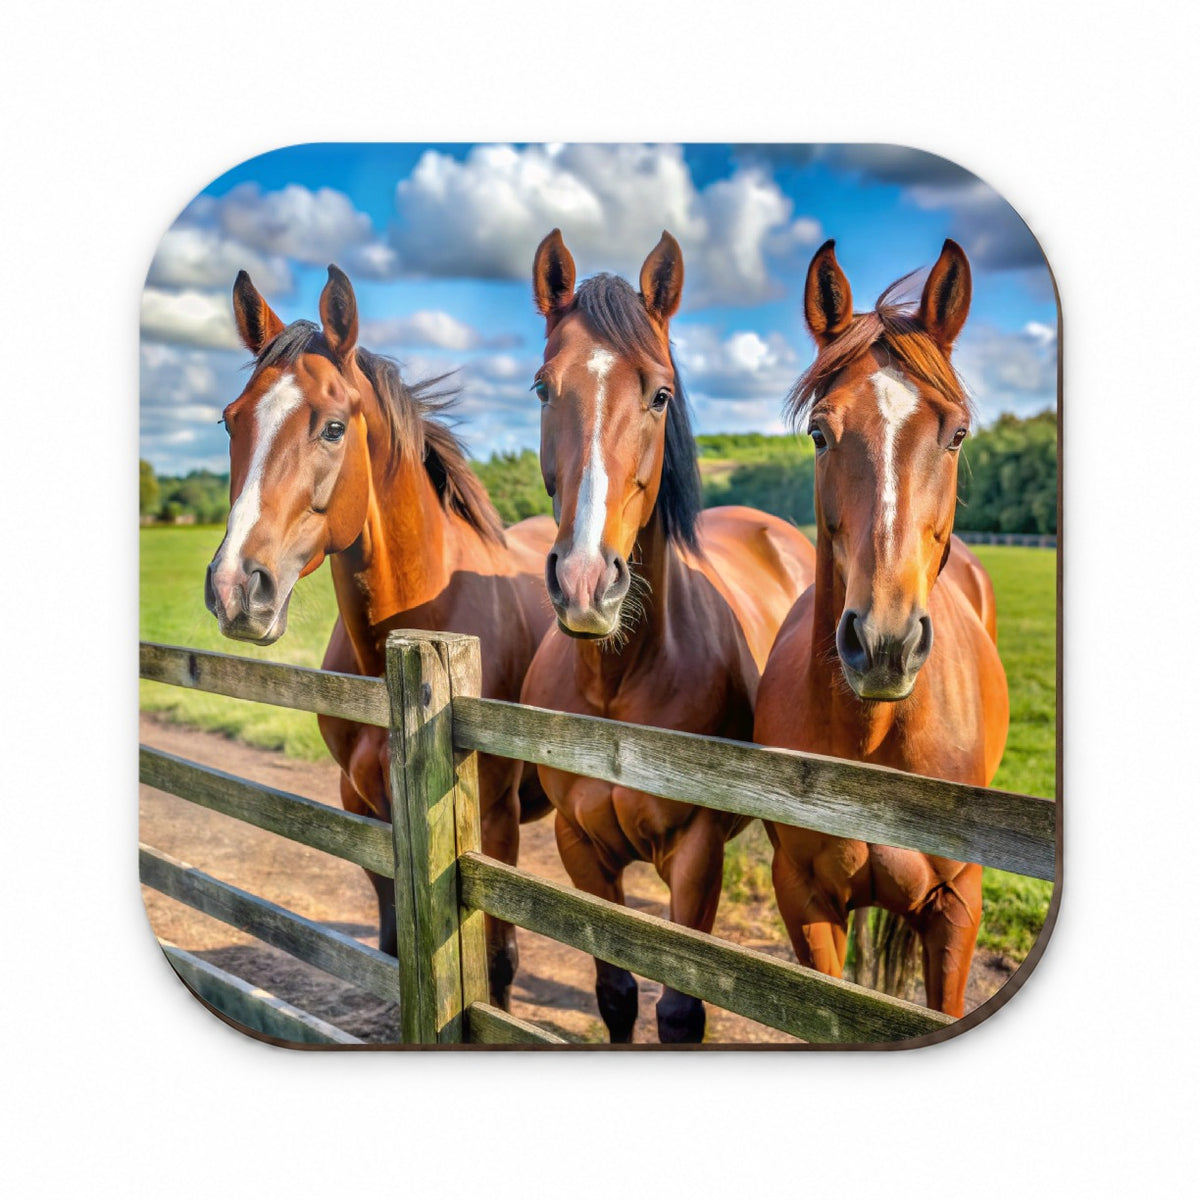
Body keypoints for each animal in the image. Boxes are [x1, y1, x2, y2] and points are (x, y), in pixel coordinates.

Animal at [204, 264, 556, 1008]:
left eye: (334, 427)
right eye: (229, 419)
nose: (234, 587)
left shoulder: (494, 824)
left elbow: (499, 966)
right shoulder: (366, 810)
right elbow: (397, 947)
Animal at [519, 229, 817, 1042]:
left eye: (659, 394)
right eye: (542, 388)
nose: (586, 580)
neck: (616, 687)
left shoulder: (695, 855)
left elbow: (681, 1010)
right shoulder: (579, 846)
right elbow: (618, 992)